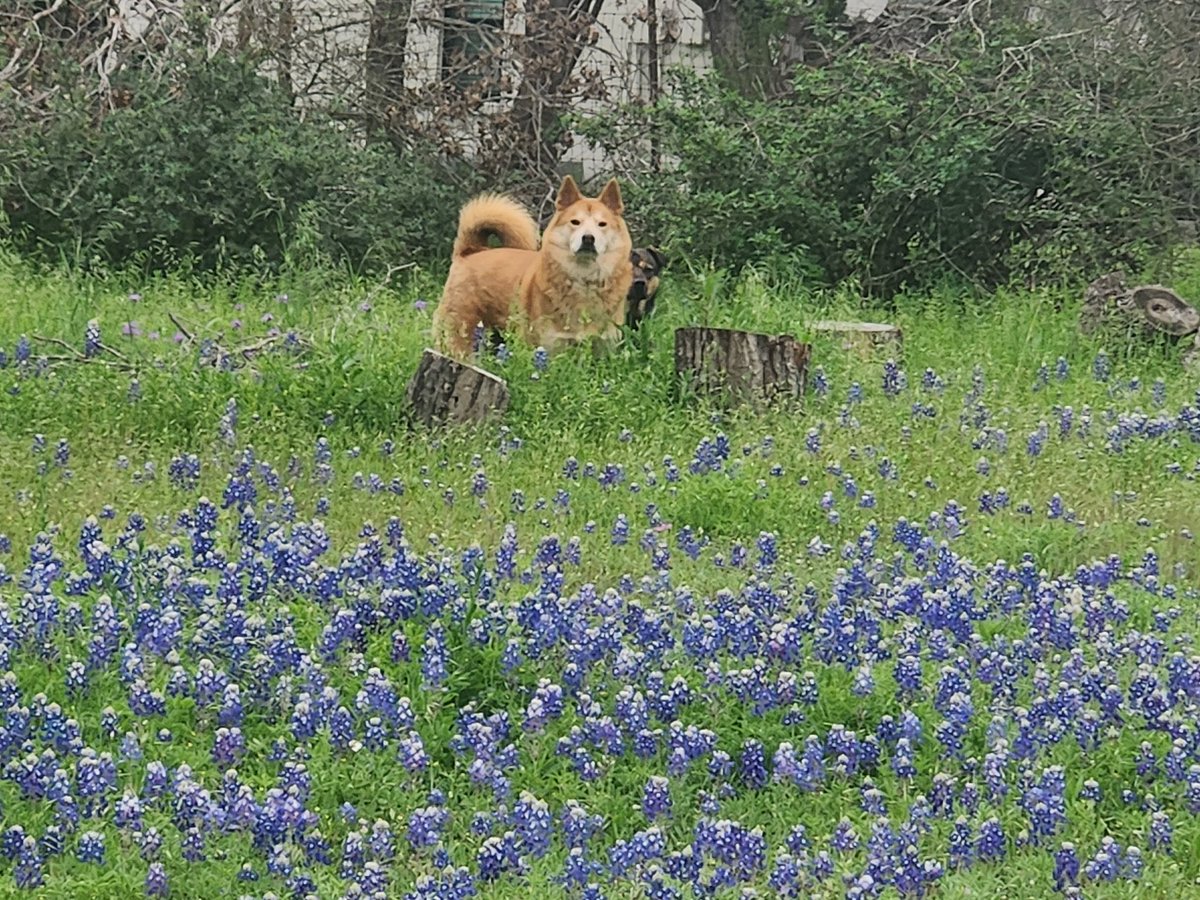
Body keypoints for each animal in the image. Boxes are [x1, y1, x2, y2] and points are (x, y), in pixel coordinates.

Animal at [434, 174, 638, 357]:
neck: (584, 282)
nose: (588, 238)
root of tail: (471, 251)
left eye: (602, 224)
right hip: (460, 336)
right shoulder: (549, 348)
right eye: (575, 222)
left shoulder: (603, 350)